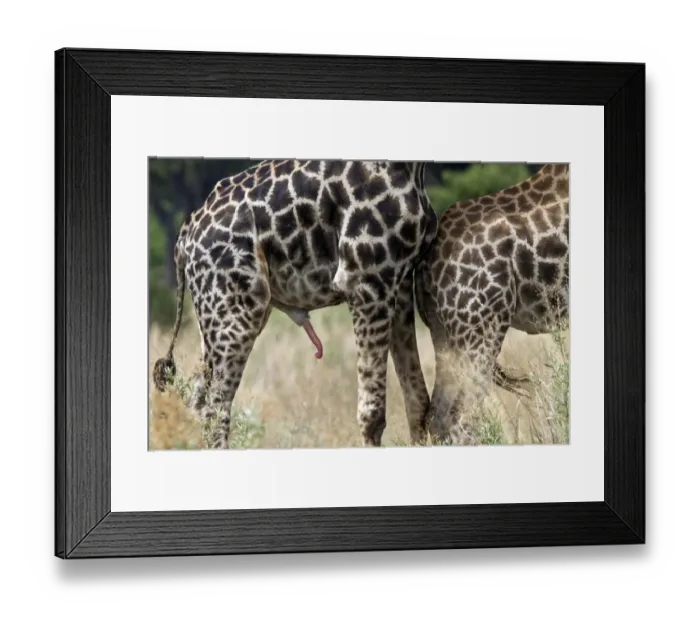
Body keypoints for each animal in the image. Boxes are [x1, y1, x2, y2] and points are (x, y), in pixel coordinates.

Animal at [153, 159, 437, 449]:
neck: (412, 168)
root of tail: (184, 238)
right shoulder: (366, 279)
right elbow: (372, 414)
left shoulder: (400, 280)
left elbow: (418, 401)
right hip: (236, 314)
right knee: (214, 410)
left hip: (216, 316)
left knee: (196, 401)